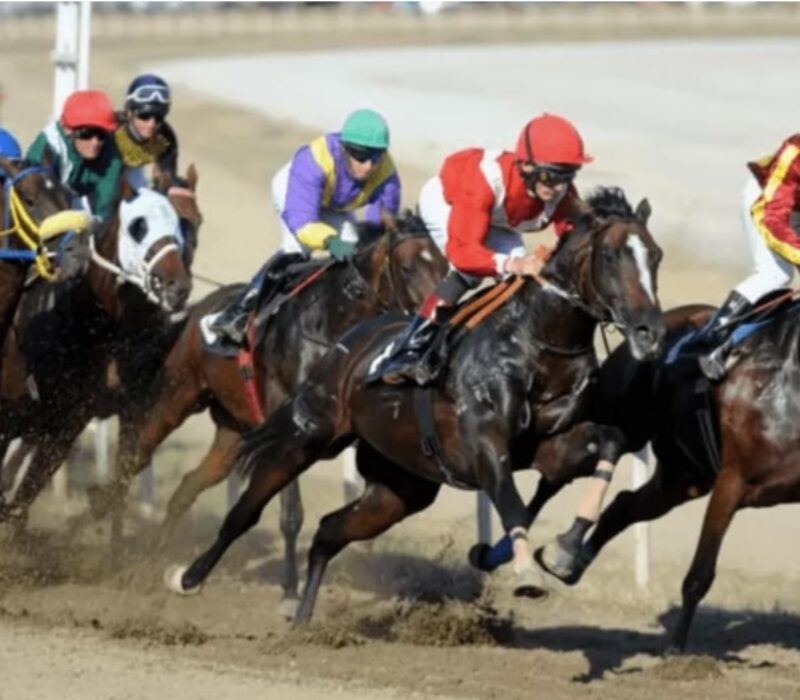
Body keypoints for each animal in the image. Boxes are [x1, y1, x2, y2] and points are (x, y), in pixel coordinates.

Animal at [87, 213, 447, 613]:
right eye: (408, 266)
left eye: (443, 263)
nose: (440, 317)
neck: (330, 327)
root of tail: (201, 308)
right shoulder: (293, 434)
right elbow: (291, 514)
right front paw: (290, 591)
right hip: (176, 394)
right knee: (133, 458)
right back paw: (108, 531)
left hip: (232, 433)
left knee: (187, 486)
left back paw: (152, 559)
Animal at [163, 187, 666, 625]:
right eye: (610, 256)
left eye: (656, 256)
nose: (650, 330)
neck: (536, 344)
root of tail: (347, 343)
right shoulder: (484, 446)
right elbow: (511, 500)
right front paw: (526, 571)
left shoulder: (550, 444)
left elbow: (607, 443)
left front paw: (562, 552)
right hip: (308, 435)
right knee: (248, 510)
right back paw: (186, 576)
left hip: (400, 487)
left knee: (328, 530)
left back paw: (303, 618)